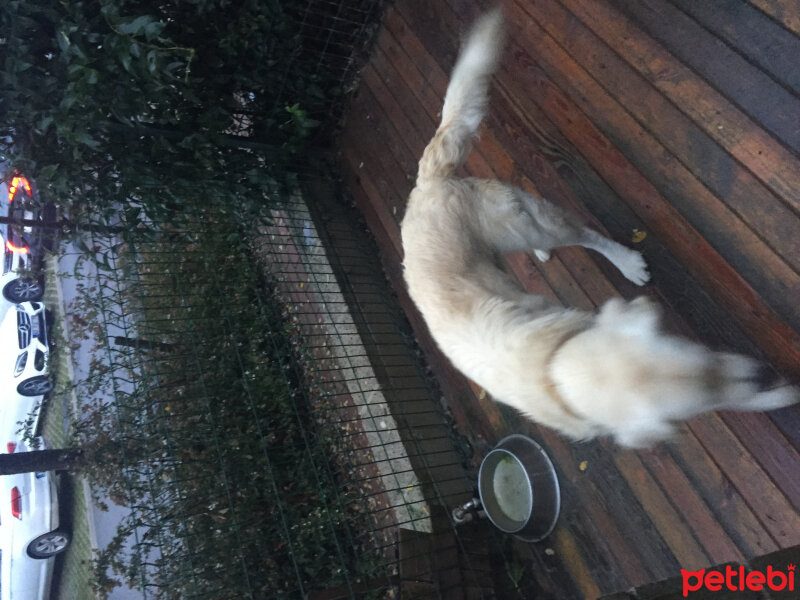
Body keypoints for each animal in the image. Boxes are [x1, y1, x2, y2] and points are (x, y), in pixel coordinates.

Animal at [400, 9, 800, 448]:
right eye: (696, 401)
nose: (761, 374)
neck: (554, 370)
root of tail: (426, 182)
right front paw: (776, 393)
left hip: (528, 224)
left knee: (583, 235)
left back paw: (626, 263)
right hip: (512, 228)